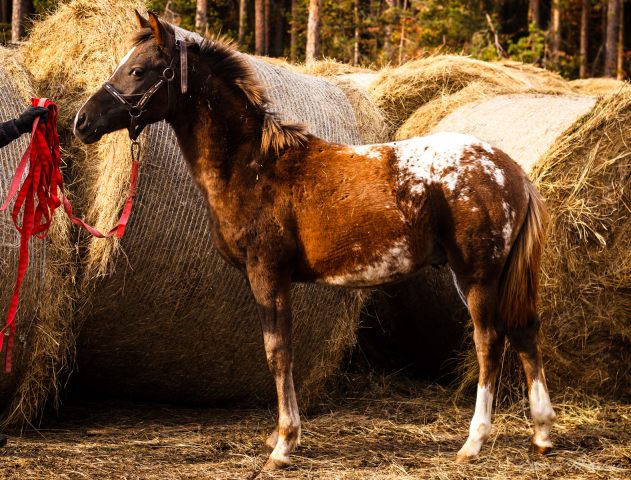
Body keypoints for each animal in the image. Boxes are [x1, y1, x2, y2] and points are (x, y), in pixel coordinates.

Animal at [75, 10, 556, 468]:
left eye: (139, 70)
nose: (82, 122)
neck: (254, 166)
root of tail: (512, 171)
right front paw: (282, 436)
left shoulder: (267, 273)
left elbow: (277, 352)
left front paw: (284, 444)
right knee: (525, 332)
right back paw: (542, 434)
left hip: (476, 276)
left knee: (490, 342)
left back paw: (474, 443)